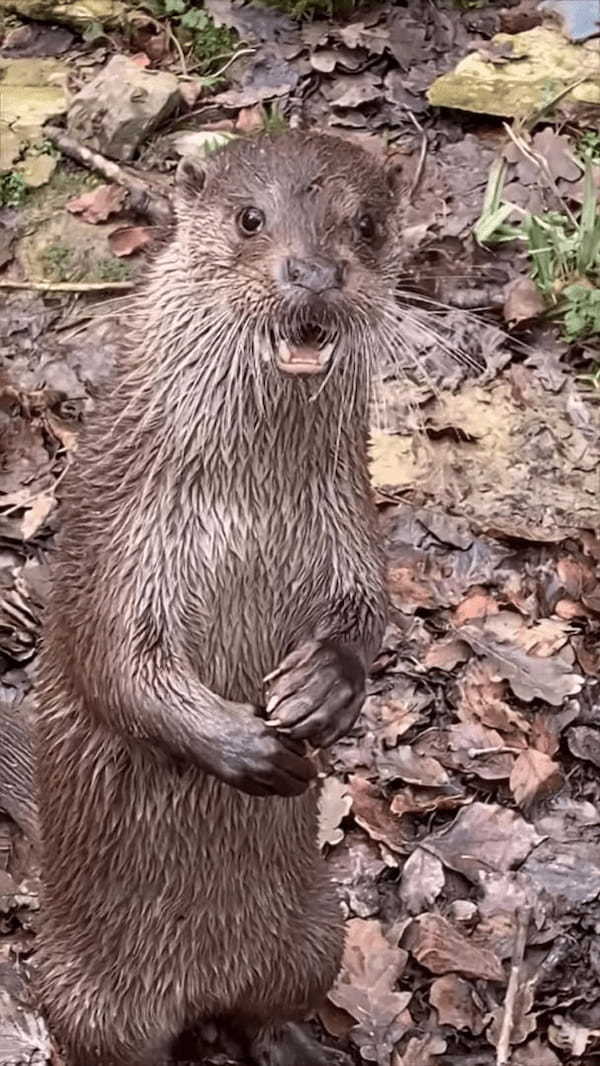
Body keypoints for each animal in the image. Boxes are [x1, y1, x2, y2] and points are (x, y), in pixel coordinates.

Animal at [31, 133, 402, 1066]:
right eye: (249, 218)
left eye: (368, 226)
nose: (315, 273)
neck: (248, 506)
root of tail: (196, 989)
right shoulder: (119, 539)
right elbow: (115, 663)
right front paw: (247, 748)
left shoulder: (350, 521)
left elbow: (369, 608)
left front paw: (324, 688)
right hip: (86, 998)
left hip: (315, 934)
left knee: (264, 1009)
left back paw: (290, 1043)